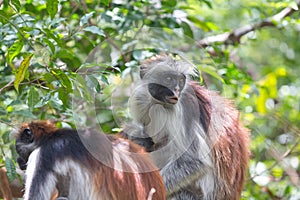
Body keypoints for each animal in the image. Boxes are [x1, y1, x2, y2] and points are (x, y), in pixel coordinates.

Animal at [122, 54, 251, 200]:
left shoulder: (181, 109)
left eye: (180, 81)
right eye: (168, 79)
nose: (176, 90)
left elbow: (193, 161)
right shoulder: (141, 99)